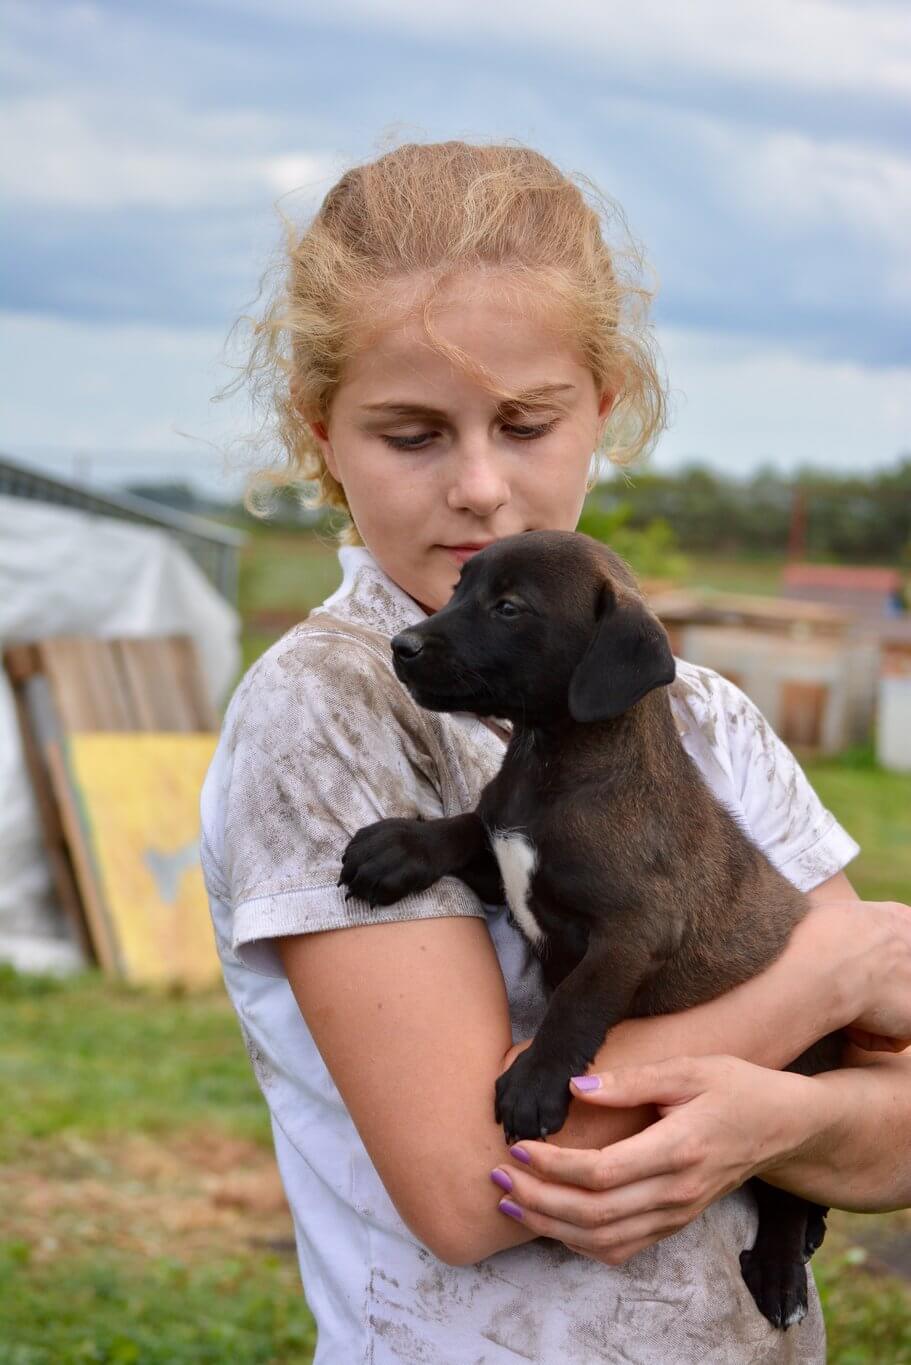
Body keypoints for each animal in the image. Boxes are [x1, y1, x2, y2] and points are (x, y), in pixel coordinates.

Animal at [339, 529, 841, 1330]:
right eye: (456, 589)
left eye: (509, 608)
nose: (402, 645)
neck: (552, 762)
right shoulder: (507, 860)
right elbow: (468, 825)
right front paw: (397, 847)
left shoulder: (632, 932)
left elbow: (576, 1002)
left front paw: (537, 1083)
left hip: (802, 1075)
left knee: (788, 1189)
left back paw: (779, 1269)